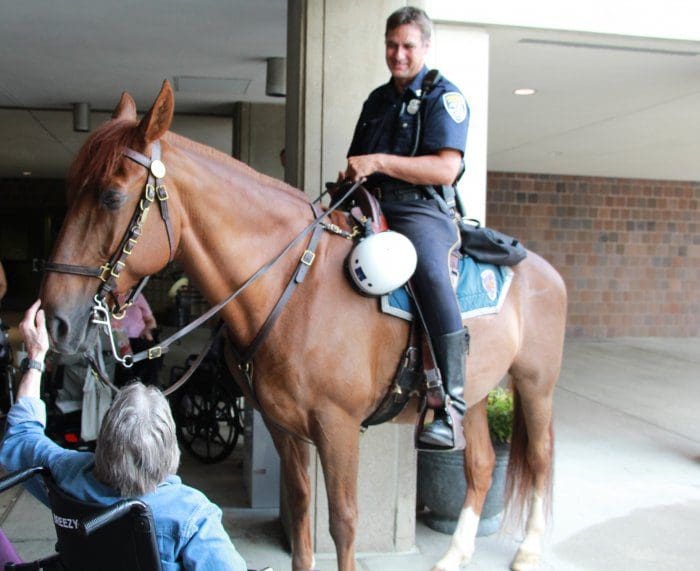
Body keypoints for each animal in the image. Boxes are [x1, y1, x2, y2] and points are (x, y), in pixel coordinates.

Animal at [41, 80, 568, 571]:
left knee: (542, 459)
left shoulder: (338, 427)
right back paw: (455, 554)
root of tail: (546, 270)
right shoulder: (284, 426)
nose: (55, 321)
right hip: (475, 394)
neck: (294, 288)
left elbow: (343, 522)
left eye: (111, 197)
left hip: (535, 384)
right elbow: (299, 513)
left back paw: (528, 550)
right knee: (480, 466)